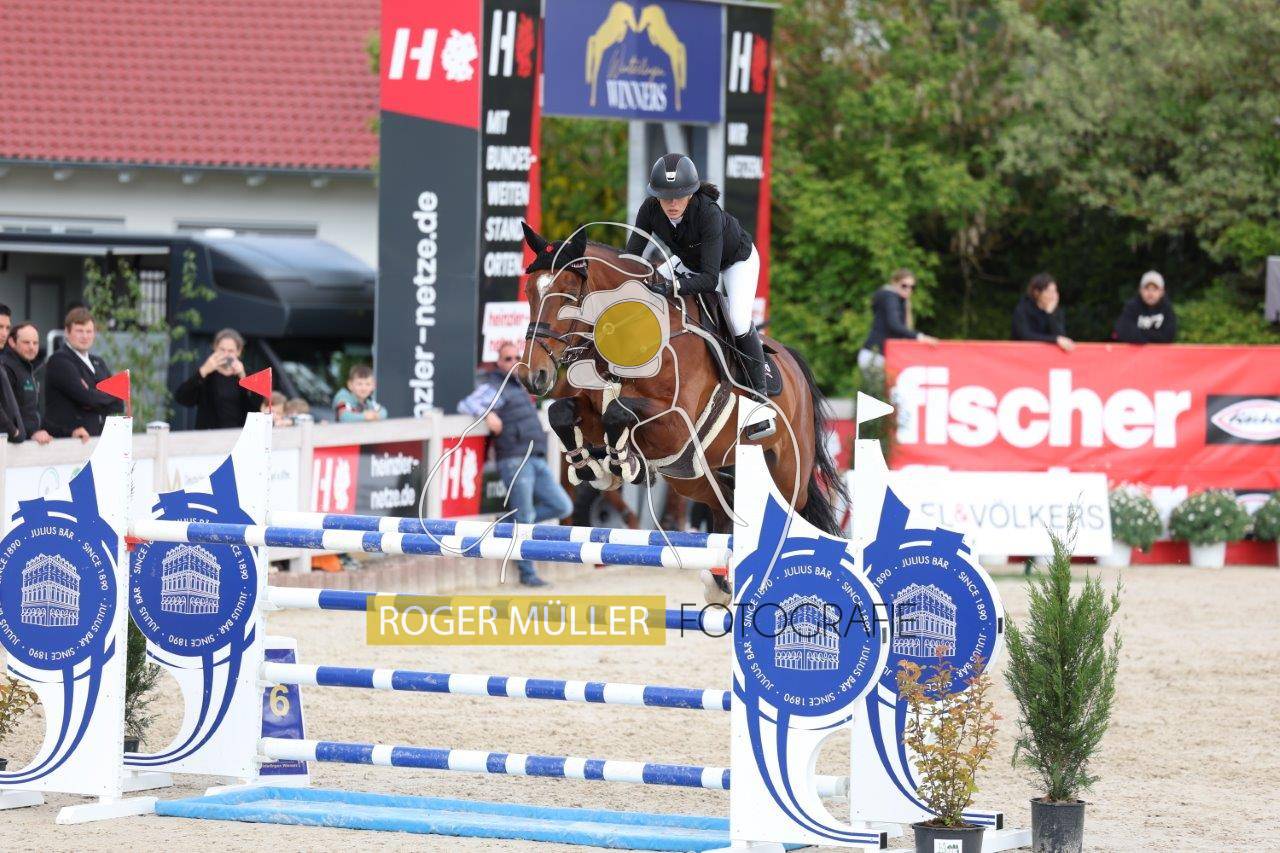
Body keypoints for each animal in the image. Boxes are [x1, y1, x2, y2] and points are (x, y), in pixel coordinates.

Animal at [519, 224, 845, 569]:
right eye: (528, 291)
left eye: (567, 293)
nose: (533, 376)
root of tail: (793, 365)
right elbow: (560, 413)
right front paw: (589, 468)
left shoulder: (675, 425)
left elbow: (619, 412)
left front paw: (623, 464)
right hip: (693, 476)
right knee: (724, 507)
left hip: (788, 476)